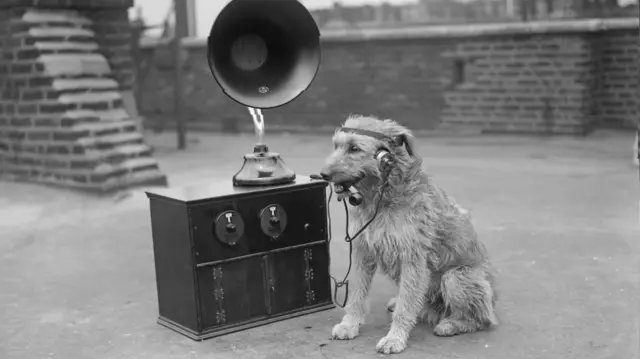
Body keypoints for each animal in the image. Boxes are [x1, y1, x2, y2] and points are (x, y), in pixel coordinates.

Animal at [320, 115, 500, 354]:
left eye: (354, 148)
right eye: (336, 146)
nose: (322, 175)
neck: (383, 197)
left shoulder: (412, 259)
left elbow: (406, 308)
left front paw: (394, 338)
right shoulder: (362, 253)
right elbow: (357, 294)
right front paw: (350, 324)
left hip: (457, 278)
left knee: (482, 319)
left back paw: (452, 324)